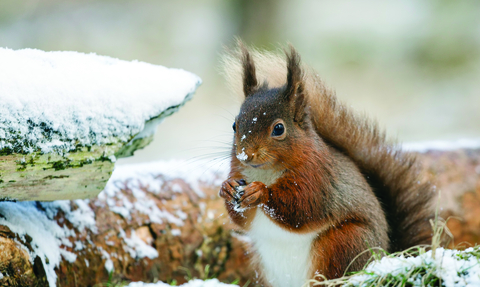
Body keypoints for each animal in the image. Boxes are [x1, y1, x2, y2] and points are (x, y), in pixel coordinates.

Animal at [219, 43, 434, 287]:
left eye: (278, 129)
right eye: (235, 125)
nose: (245, 155)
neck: (265, 172)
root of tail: (387, 254)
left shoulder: (317, 176)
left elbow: (302, 207)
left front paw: (260, 192)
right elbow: (242, 220)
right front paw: (226, 188)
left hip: (342, 244)